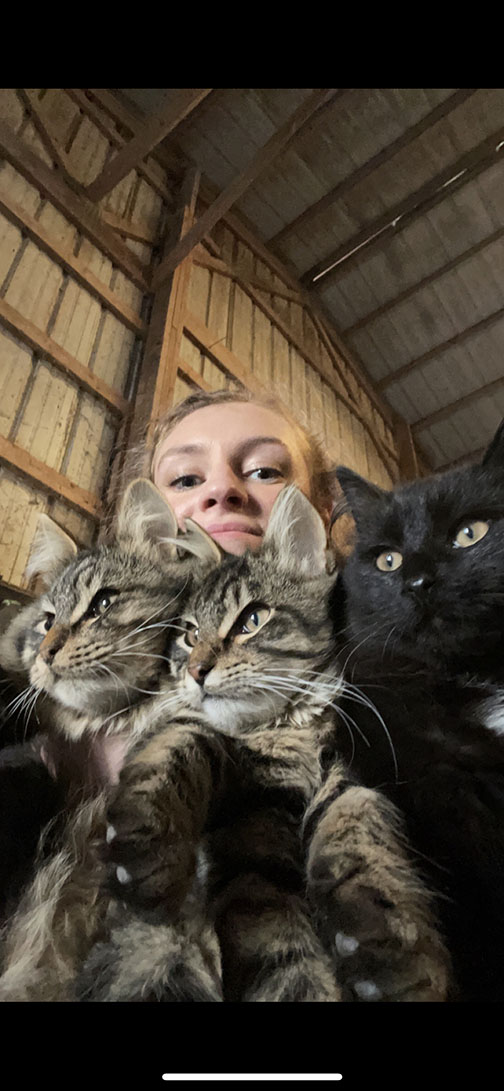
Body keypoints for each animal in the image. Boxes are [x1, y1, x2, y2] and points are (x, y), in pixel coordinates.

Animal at [80, 484, 450, 1003]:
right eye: (189, 633)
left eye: (252, 619)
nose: (195, 671)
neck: (284, 730)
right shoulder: (252, 820)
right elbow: (178, 742)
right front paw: (147, 840)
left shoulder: (345, 774)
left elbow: (358, 829)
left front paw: (382, 938)